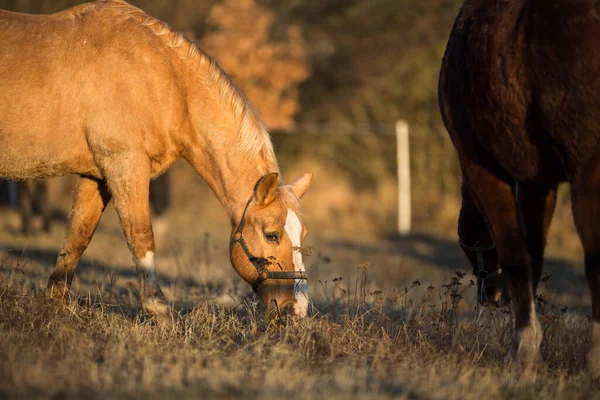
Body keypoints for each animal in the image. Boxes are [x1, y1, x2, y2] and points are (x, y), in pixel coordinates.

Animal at [2, 0, 314, 318]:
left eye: (301, 236)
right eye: (272, 235)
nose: (297, 309)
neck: (165, 80)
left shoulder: (97, 175)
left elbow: (78, 236)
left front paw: (55, 305)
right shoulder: (124, 165)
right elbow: (140, 235)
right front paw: (158, 307)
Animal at [438, 0, 600, 370]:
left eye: (466, 239)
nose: (492, 296)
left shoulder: (480, 164)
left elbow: (516, 255)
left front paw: (522, 352)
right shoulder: (537, 180)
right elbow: (533, 255)